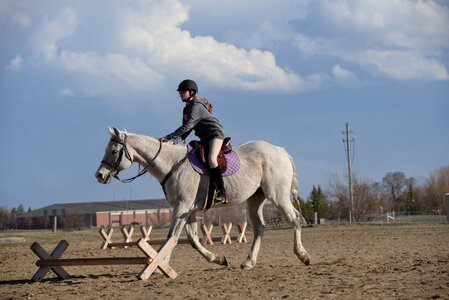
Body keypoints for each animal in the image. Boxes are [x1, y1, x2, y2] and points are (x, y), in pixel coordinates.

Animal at [96, 127, 310, 270]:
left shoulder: (182, 208)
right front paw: (218, 259)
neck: (171, 164)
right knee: (259, 228)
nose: (99, 175)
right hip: (255, 200)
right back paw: (248, 262)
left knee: (295, 219)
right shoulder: (187, 210)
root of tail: (280, 150)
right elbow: (191, 239)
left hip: (278, 196)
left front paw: (158, 265)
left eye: (114, 151)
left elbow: (172, 237)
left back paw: (303, 256)